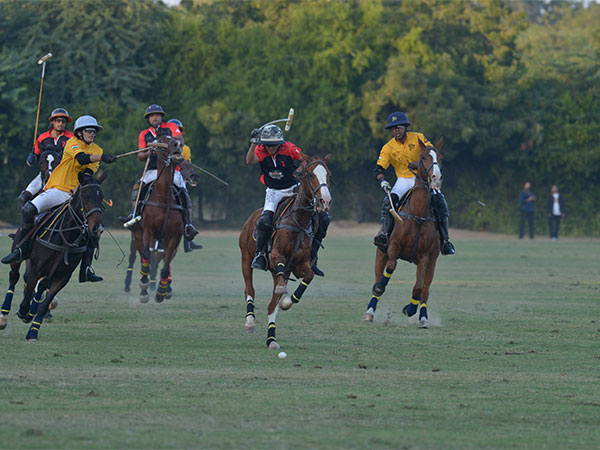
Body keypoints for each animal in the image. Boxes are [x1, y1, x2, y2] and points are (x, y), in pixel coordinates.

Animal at [133, 134, 183, 302]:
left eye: (174, 137)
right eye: (161, 141)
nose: (178, 144)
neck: (163, 197)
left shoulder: (174, 237)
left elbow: (166, 265)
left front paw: (161, 291)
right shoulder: (147, 231)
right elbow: (147, 257)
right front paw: (144, 286)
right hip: (138, 235)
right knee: (145, 257)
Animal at [239, 154, 332, 348]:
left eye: (328, 175)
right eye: (310, 175)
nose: (325, 201)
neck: (300, 220)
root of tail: (252, 217)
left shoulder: (299, 265)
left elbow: (309, 275)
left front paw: (287, 302)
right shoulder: (275, 257)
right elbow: (277, 268)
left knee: (271, 305)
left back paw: (271, 340)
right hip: (245, 258)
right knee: (249, 289)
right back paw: (250, 322)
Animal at [360, 141, 446, 326]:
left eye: (441, 157)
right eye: (423, 157)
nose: (436, 178)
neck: (418, 214)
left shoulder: (426, 256)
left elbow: (418, 288)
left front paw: (411, 309)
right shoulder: (393, 246)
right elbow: (390, 269)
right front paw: (379, 288)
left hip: (433, 262)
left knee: (425, 291)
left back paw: (423, 318)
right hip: (380, 253)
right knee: (378, 276)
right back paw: (369, 312)